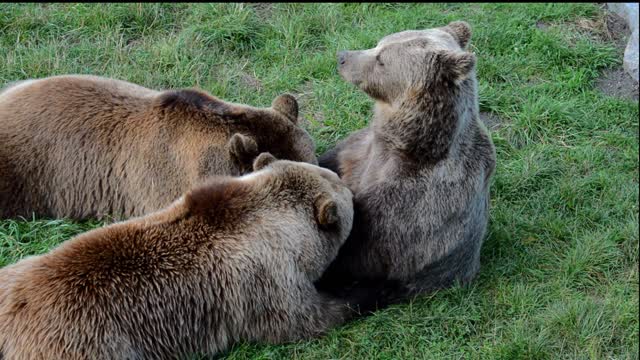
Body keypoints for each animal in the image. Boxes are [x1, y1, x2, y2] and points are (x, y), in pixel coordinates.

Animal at [0, 155, 362, 360]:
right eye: (345, 191)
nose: (349, 185)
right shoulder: (264, 280)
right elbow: (305, 318)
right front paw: (362, 293)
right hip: (86, 343)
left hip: (13, 273)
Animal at [318, 21, 498, 300]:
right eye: (379, 43)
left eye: (381, 60)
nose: (343, 57)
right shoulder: (359, 149)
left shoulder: (412, 200)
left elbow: (358, 246)